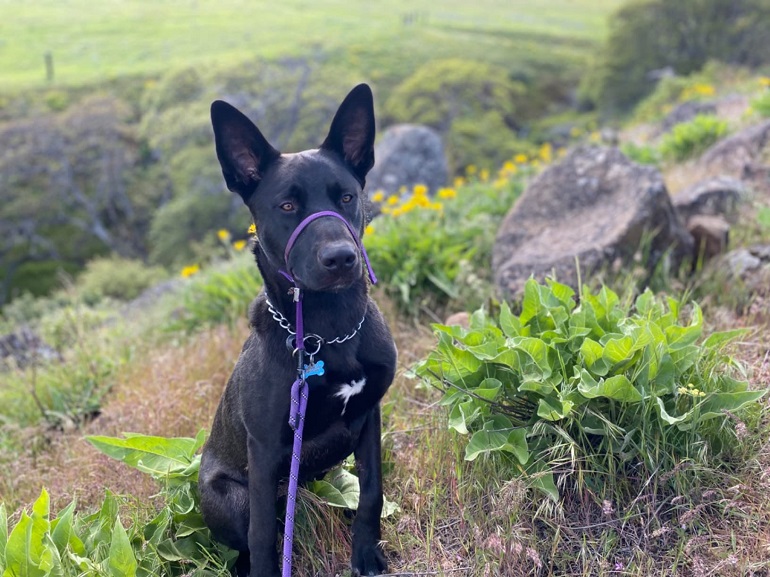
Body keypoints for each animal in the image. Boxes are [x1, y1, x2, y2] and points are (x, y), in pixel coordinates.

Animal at [198, 82, 396, 576]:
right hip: (229, 496)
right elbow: (264, 536)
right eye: (287, 206)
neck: (329, 331)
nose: (341, 258)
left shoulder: (369, 416)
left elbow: (371, 493)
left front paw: (366, 554)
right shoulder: (266, 451)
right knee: (248, 538)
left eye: (346, 197)